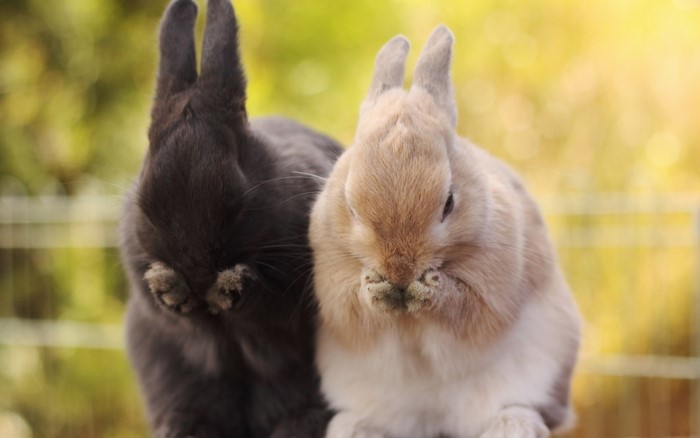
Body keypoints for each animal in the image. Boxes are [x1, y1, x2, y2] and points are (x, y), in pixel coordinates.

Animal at [119, 0, 343, 436]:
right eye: (147, 208)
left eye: (237, 203)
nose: (197, 273)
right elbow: (173, 312)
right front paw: (169, 286)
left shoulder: (293, 291)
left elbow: (269, 303)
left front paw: (230, 286)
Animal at [309, 25, 582, 438]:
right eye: (350, 205)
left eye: (449, 202)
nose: (399, 269)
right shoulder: (334, 291)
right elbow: (354, 309)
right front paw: (377, 288)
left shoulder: (491, 290)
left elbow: (464, 307)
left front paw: (427, 289)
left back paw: (512, 425)